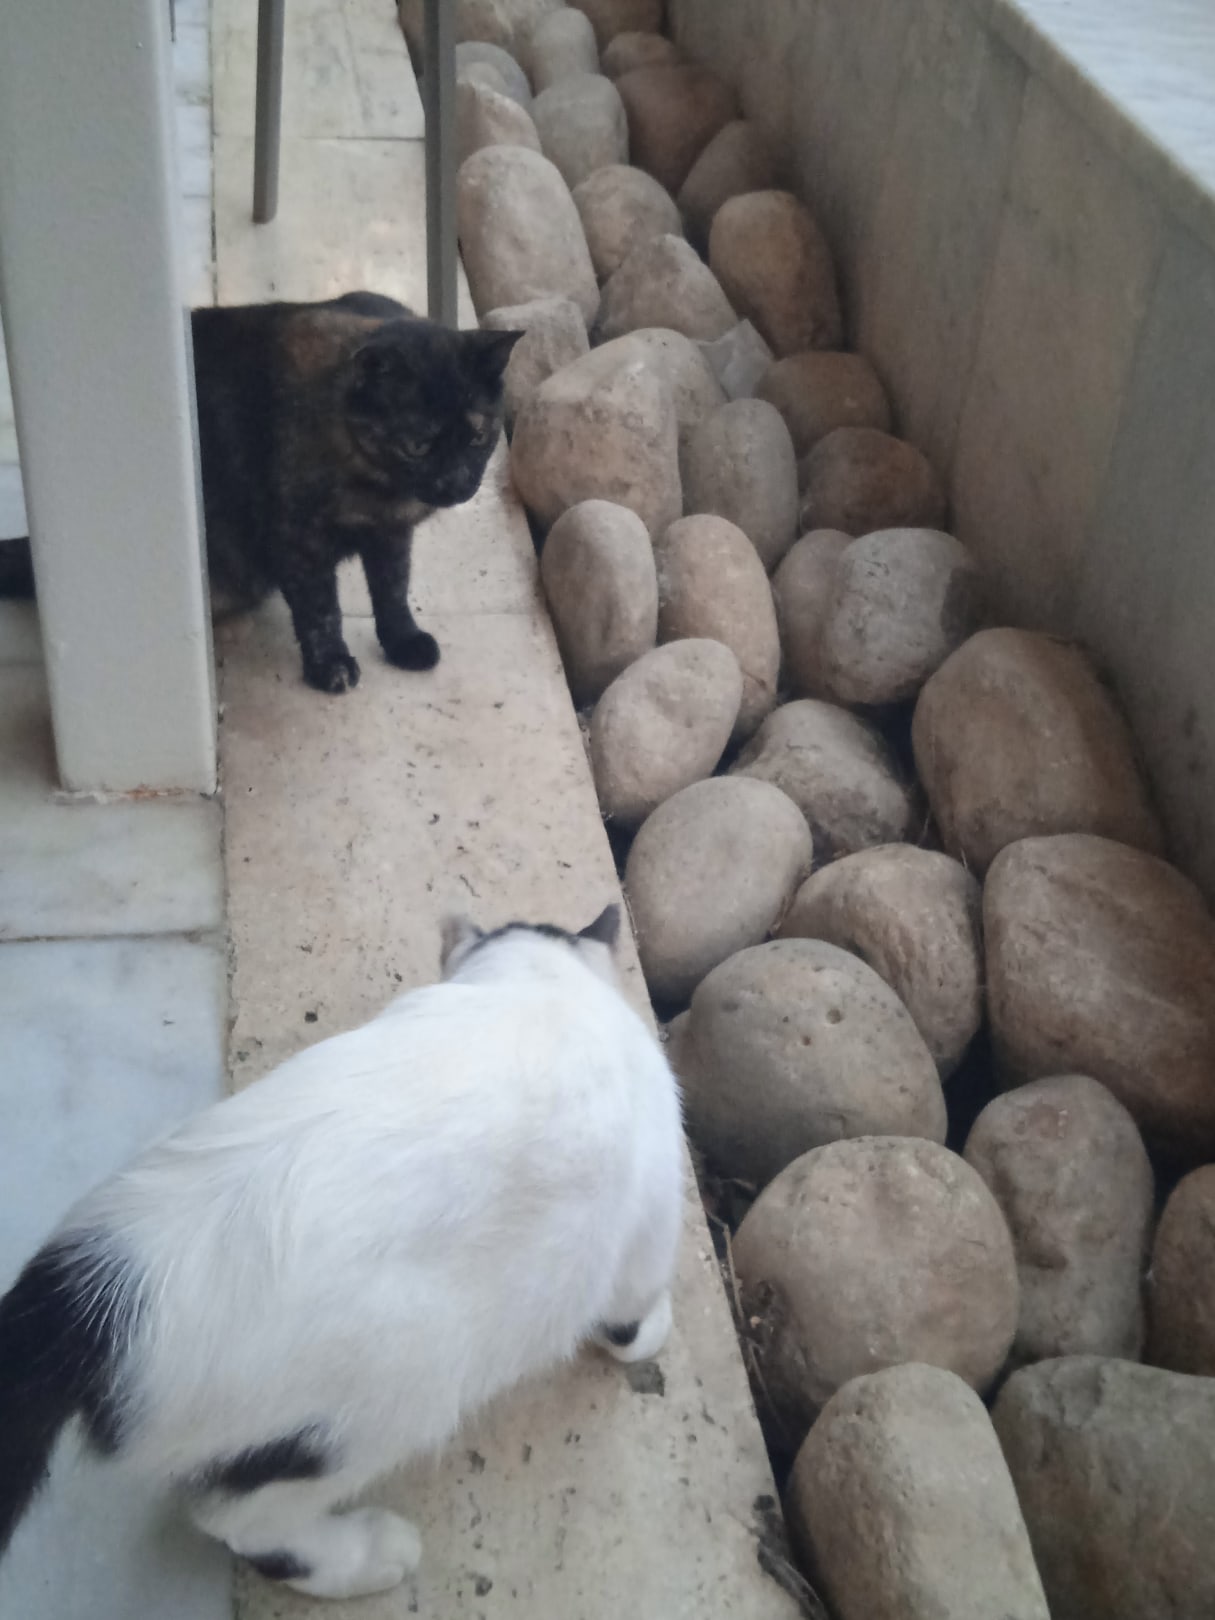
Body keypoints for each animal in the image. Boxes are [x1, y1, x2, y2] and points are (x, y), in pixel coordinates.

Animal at [0, 292, 522, 694]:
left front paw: (403, 641)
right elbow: (320, 609)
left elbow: (393, 589)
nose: (457, 483)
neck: (373, 484)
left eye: (477, 436)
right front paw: (330, 666)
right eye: (418, 445)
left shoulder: (391, 535)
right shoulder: (297, 538)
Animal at [0, 903, 684, 1600]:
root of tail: (86, 1297)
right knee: (241, 1521)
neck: (541, 985)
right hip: (378, 1406)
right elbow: (632, 1317)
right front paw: (653, 1329)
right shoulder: (645, 1225)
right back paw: (365, 1556)